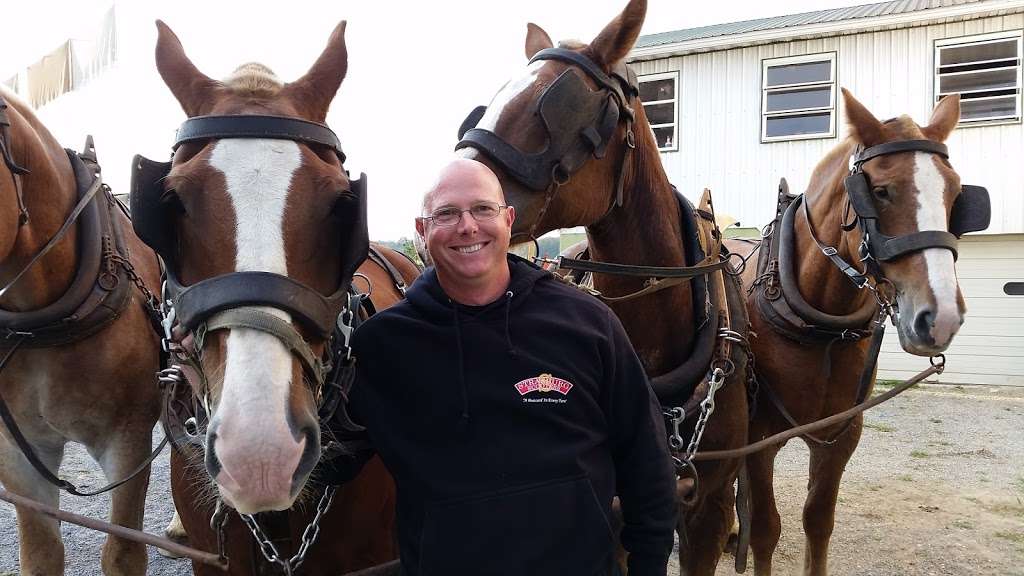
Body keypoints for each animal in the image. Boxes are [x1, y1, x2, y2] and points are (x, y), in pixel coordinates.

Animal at [733, 90, 987, 573]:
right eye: (881, 192)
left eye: (955, 193)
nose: (940, 318)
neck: (820, 328)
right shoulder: (758, 437)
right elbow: (766, 530)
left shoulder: (841, 435)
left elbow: (818, 522)